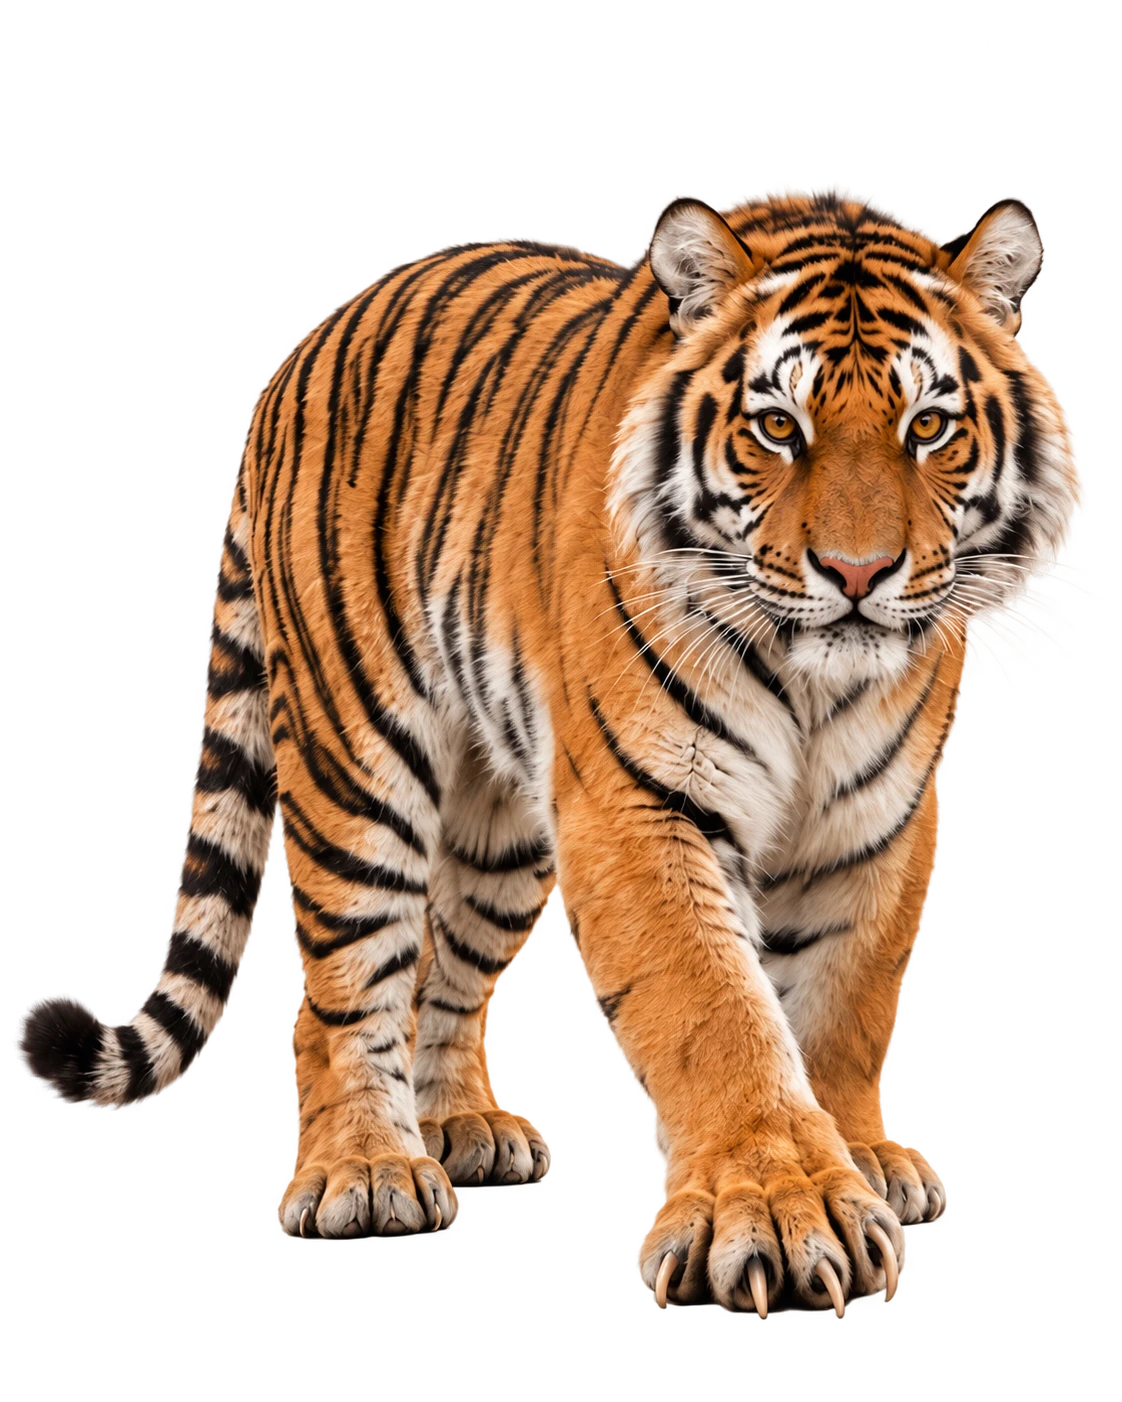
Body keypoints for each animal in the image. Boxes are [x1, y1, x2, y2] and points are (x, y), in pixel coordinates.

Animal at [15, 184, 1087, 1316]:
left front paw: (862, 1154)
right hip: (356, 761)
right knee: (343, 979)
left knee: (441, 964)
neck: (816, 682)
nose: (855, 572)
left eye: (928, 427)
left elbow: (846, 1003)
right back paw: (365, 1168)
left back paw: (459, 1125)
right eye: (776, 428)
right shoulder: (641, 802)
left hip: (502, 819)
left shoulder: (878, 822)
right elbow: (716, 1010)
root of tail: (305, 345)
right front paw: (780, 1208)